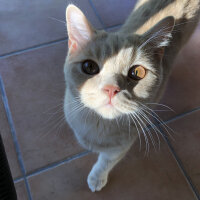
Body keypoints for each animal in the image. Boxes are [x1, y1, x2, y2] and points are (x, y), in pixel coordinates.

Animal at [63, 0, 200, 192]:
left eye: (137, 72)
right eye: (89, 67)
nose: (111, 89)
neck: (100, 125)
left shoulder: (121, 147)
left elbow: (106, 162)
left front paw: (97, 177)